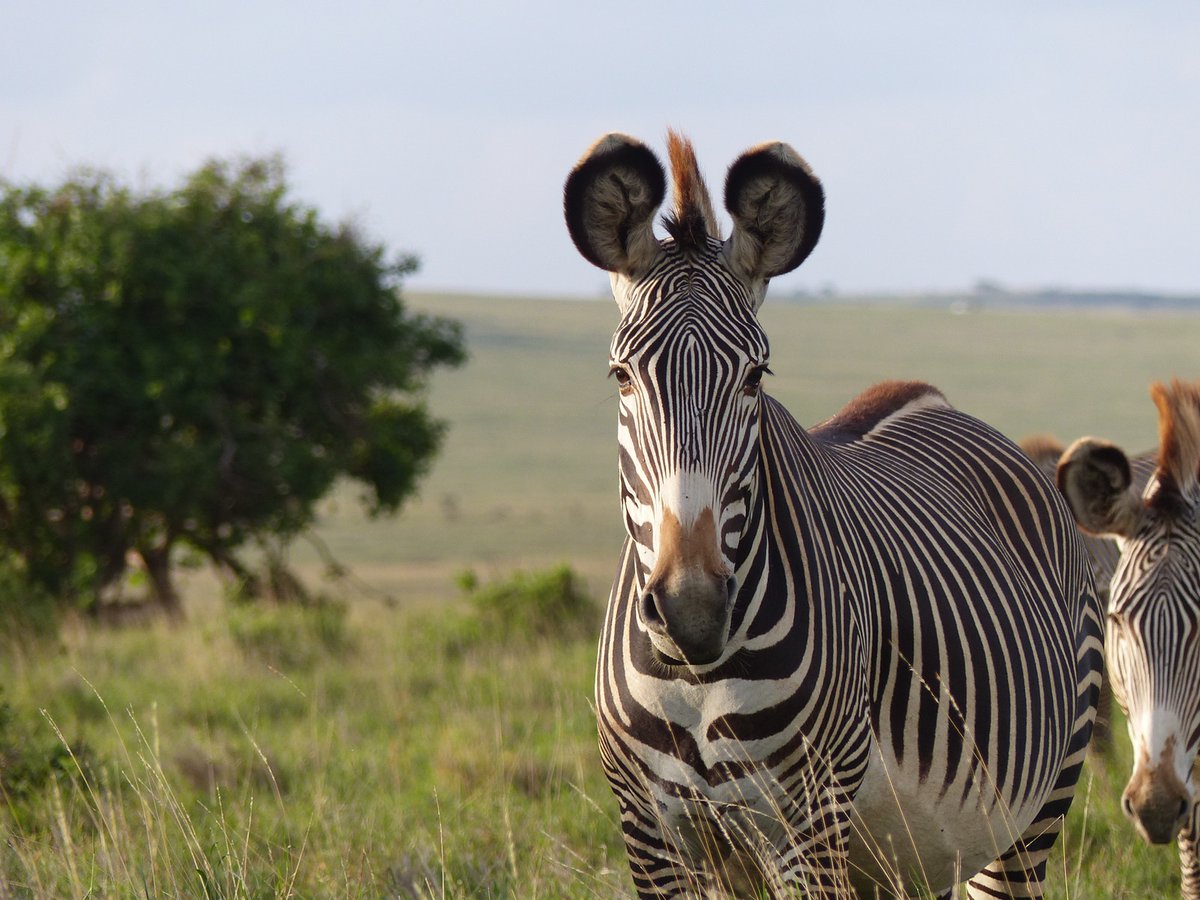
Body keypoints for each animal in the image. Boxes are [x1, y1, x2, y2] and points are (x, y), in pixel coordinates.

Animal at [563, 131, 1104, 898]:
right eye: (621, 376)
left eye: (756, 376)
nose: (692, 610)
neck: (697, 675)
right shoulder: (651, 837)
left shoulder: (808, 825)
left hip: (1031, 813)